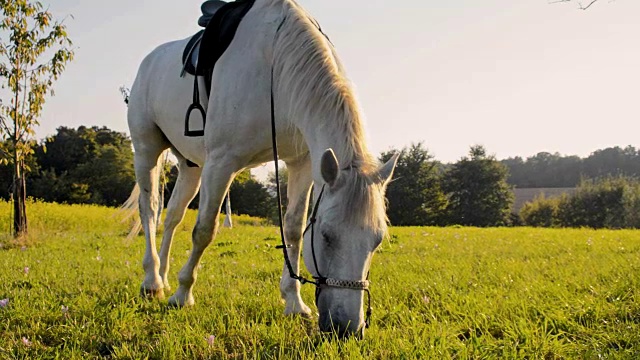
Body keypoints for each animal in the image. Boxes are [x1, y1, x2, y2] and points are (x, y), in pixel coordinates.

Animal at [127, 0, 398, 338]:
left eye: (377, 240)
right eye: (326, 236)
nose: (347, 329)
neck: (274, 63)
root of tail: (148, 61)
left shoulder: (302, 163)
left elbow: (293, 230)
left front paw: (294, 302)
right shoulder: (221, 162)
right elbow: (204, 230)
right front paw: (182, 294)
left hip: (191, 166)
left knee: (172, 215)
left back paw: (162, 276)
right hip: (147, 150)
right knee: (150, 209)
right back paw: (152, 281)